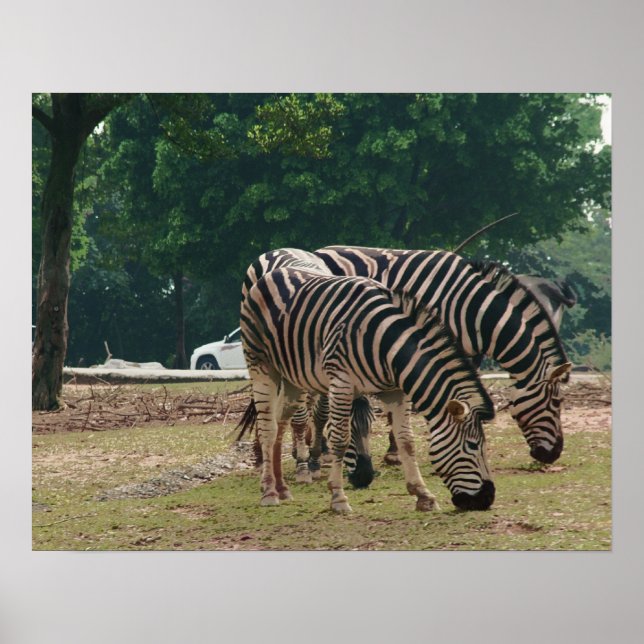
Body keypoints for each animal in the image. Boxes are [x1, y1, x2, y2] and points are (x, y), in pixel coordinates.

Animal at [240, 265, 496, 513]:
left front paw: (423, 495)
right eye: (473, 446)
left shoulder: (396, 392)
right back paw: (269, 492)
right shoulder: (341, 383)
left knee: (282, 423)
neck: (387, 344)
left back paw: (282, 489)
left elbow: (407, 441)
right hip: (260, 366)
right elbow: (340, 440)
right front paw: (338, 497)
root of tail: (272, 274)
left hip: (292, 377)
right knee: (268, 428)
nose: (487, 499)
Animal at [314, 247, 572, 466]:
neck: (473, 311)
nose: (553, 455)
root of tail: (322, 250)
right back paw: (323, 452)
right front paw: (397, 451)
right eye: (557, 402)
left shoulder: (467, 354)